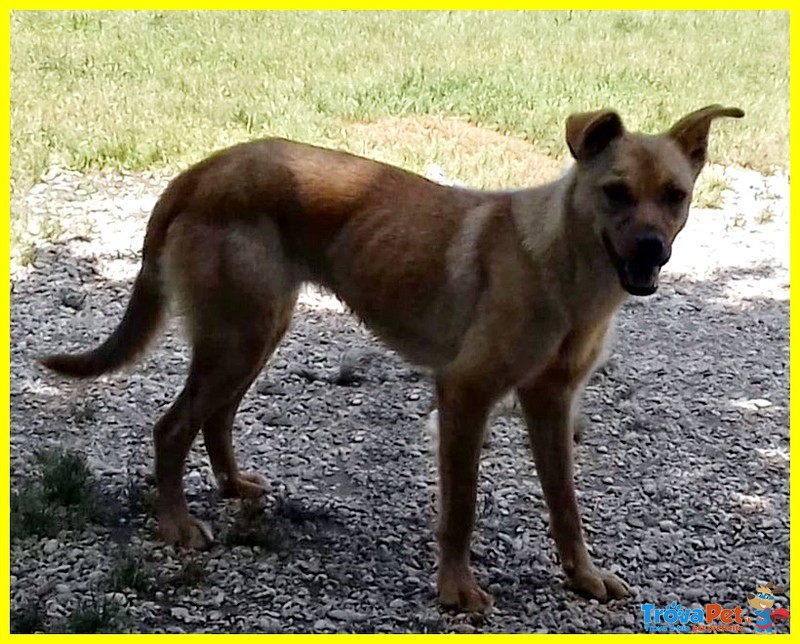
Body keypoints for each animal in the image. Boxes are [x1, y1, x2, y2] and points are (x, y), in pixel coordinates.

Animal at [40, 103, 744, 612]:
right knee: (171, 427)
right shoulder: (465, 395)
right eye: (616, 193)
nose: (652, 250)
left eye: (675, 195)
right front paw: (456, 591)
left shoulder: (550, 403)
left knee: (213, 418)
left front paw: (584, 578)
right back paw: (176, 526)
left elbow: (565, 506)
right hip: (238, 337)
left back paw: (233, 487)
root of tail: (203, 169)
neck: (564, 268)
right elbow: (460, 509)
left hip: (255, 334)